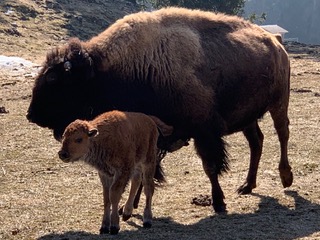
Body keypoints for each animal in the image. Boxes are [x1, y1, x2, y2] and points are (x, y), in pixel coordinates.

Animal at [26, 7, 292, 212]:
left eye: (53, 80)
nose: (31, 115)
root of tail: (276, 43)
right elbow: (147, 172)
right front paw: (129, 208)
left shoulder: (204, 132)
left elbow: (210, 167)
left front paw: (218, 203)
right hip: (249, 118)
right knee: (257, 142)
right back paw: (247, 186)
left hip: (279, 103)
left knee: (282, 134)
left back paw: (285, 177)